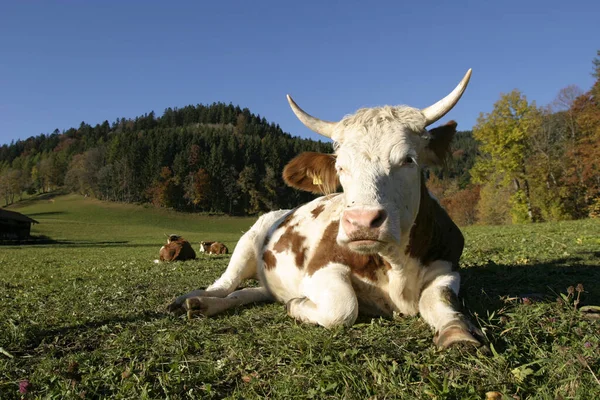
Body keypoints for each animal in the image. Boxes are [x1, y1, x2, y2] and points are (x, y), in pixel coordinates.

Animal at [169, 71, 482, 350]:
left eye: (408, 160)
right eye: (340, 166)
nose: (362, 222)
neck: (395, 266)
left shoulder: (447, 266)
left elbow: (440, 300)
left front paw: (457, 333)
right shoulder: (320, 269)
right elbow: (343, 307)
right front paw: (297, 305)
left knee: (249, 292)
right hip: (246, 243)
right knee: (225, 284)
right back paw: (193, 299)